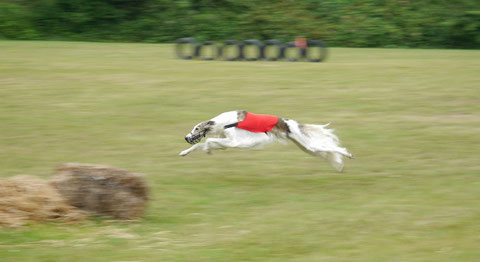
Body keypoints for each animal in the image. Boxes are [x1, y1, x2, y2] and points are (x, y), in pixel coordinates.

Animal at [180, 110, 352, 172]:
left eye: (196, 128)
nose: (186, 137)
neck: (224, 122)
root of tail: (293, 123)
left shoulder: (235, 142)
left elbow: (207, 142)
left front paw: (207, 150)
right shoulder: (224, 142)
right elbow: (201, 144)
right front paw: (184, 152)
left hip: (307, 145)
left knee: (331, 148)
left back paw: (347, 154)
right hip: (306, 147)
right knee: (325, 150)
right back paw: (340, 164)